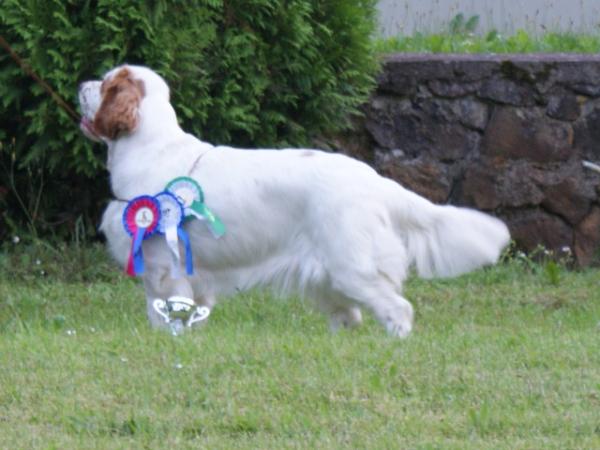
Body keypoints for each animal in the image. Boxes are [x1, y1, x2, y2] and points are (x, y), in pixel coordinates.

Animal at [78, 65, 510, 336]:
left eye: (106, 82)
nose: (81, 84)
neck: (152, 145)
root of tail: (373, 180)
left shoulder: (164, 267)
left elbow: (165, 311)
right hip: (330, 277)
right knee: (350, 316)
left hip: (352, 266)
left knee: (396, 308)